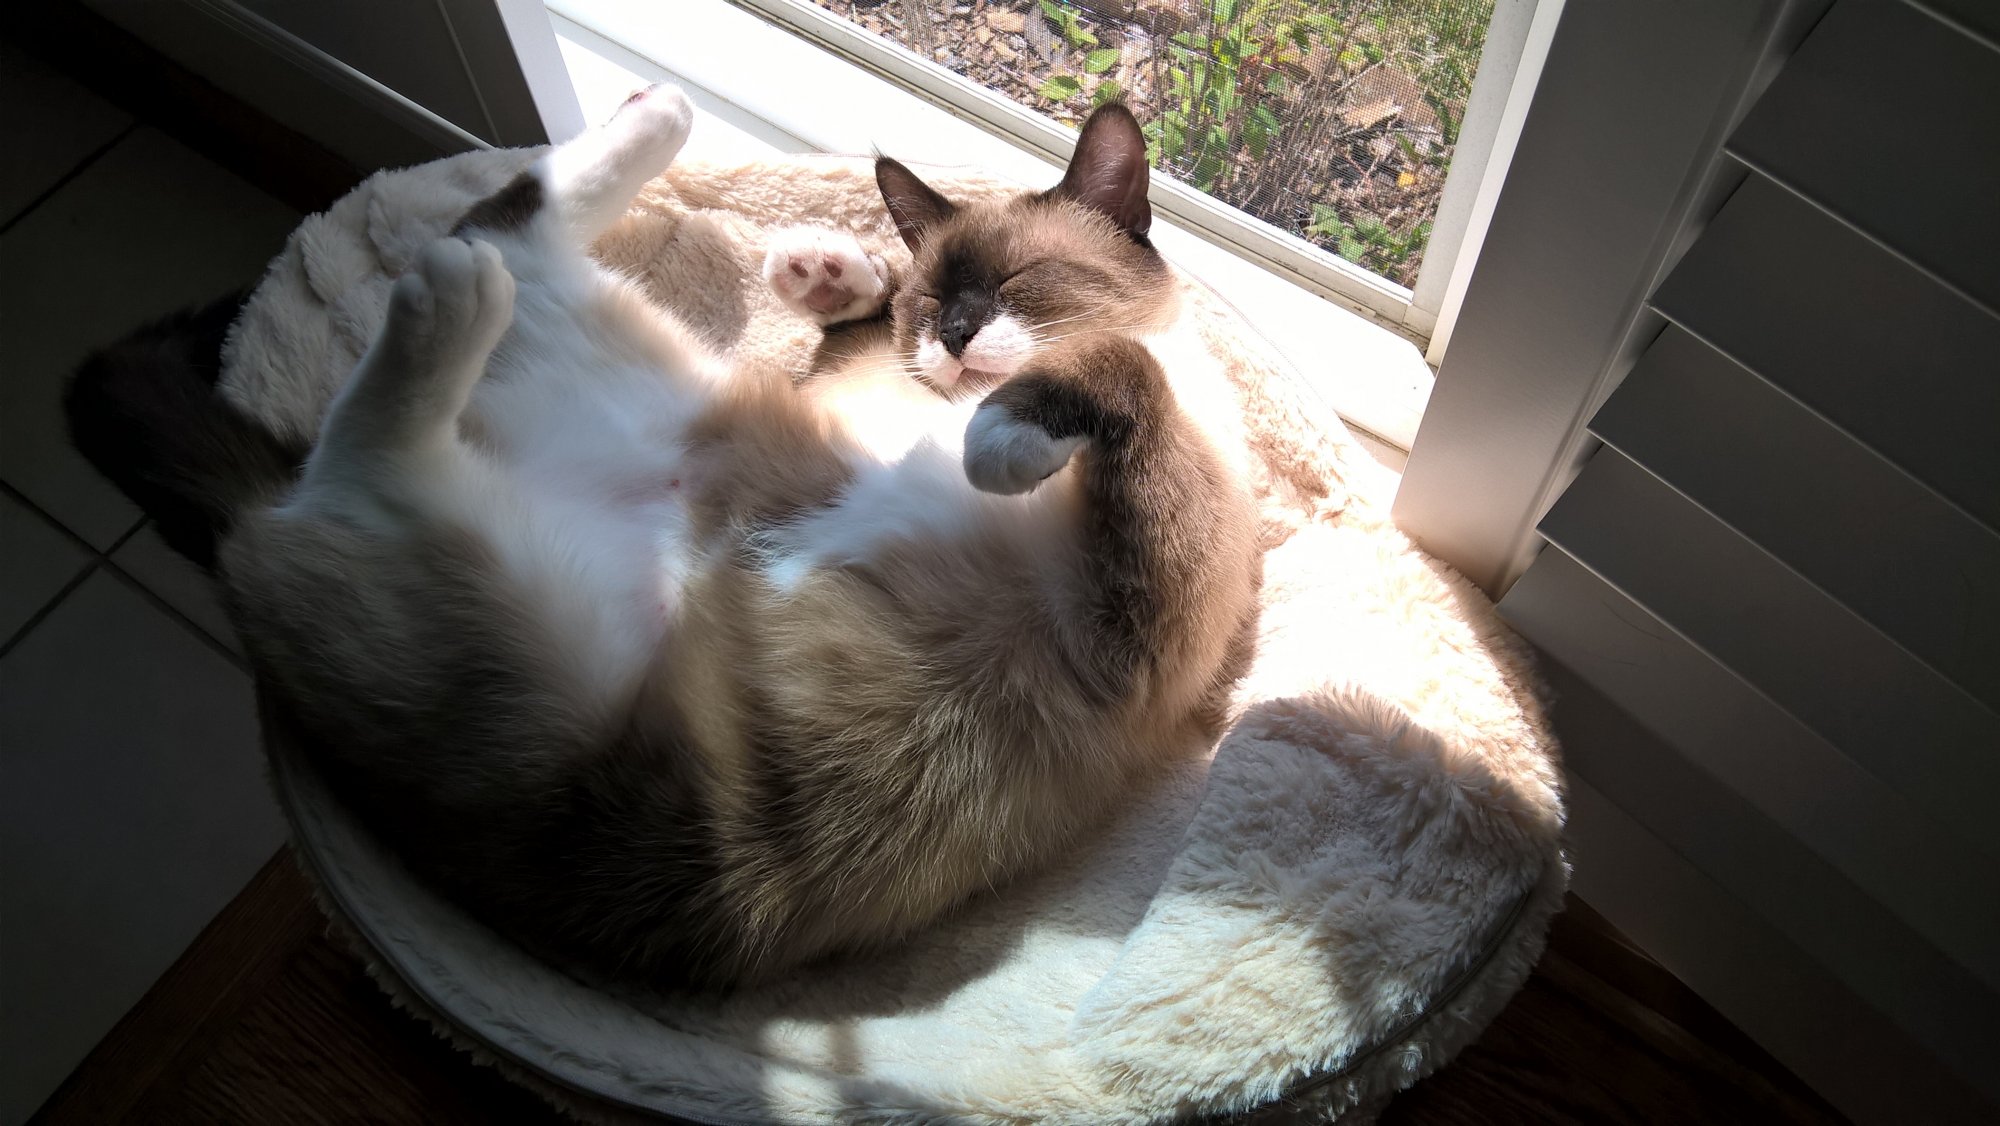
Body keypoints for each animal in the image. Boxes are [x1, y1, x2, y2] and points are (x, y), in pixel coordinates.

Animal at [215, 88, 1248, 988]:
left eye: (1016, 285)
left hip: (534, 601)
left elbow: (1120, 364)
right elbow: (884, 323)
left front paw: (1000, 436)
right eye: (933, 302)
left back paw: (482, 271)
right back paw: (634, 139)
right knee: (487, 242)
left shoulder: (1137, 609)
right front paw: (833, 274)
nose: (955, 334)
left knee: (396, 402)